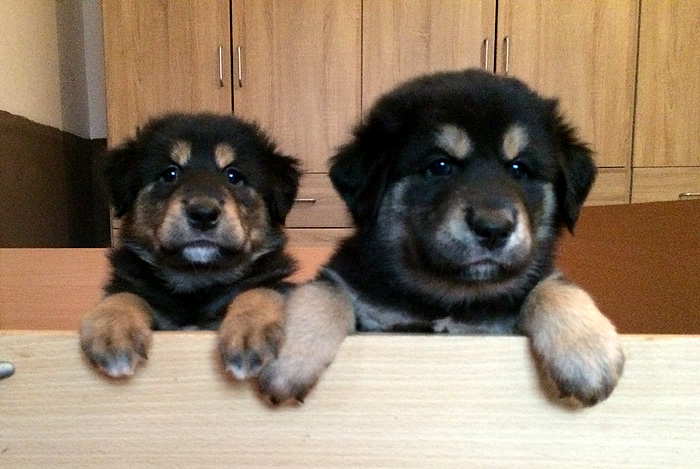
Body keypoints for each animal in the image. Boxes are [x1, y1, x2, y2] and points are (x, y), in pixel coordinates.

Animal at [80, 114, 300, 380]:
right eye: (170, 173)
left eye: (233, 176)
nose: (203, 214)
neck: (197, 280)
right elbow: (125, 295)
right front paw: (112, 331)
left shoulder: (272, 285)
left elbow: (259, 291)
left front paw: (250, 332)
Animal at [260, 69, 628, 406]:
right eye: (439, 166)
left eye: (519, 168)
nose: (493, 228)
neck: (446, 296)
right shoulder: (365, 301)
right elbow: (323, 291)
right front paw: (289, 355)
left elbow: (554, 286)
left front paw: (587, 354)